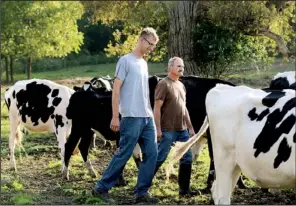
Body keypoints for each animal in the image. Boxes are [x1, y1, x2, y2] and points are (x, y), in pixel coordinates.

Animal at [63, 75, 250, 189]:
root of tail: (79, 93)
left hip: (87, 130)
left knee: (82, 147)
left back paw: (91, 172)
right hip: (80, 128)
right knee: (69, 146)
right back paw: (65, 174)